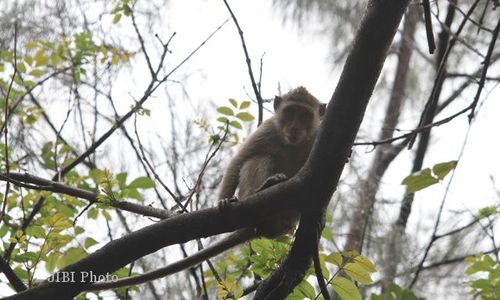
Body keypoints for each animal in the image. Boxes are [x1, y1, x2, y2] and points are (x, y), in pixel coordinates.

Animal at [86, 87, 328, 290]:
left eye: (305, 116)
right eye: (290, 112)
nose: (294, 127)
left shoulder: (317, 135)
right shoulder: (268, 129)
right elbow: (240, 161)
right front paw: (224, 200)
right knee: (258, 158)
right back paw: (264, 188)